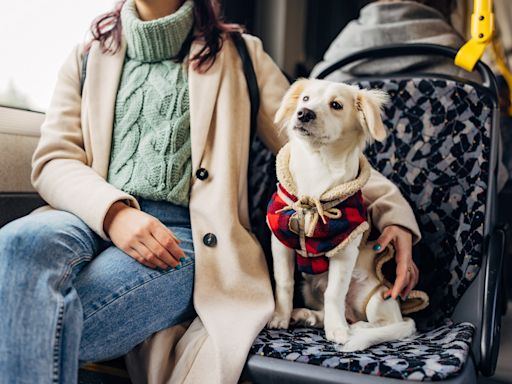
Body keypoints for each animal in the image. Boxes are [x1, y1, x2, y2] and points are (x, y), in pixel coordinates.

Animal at [266, 78, 418, 352]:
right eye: (305, 98)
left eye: (336, 105)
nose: (304, 113)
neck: (317, 167)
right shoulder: (280, 241)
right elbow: (283, 283)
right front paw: (279, 317)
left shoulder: (345, 250)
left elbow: (335, 293)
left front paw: (337, 330)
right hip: (310, 288)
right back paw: (307, 315)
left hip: (378, 295)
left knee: (383, 323)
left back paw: (355, 327)